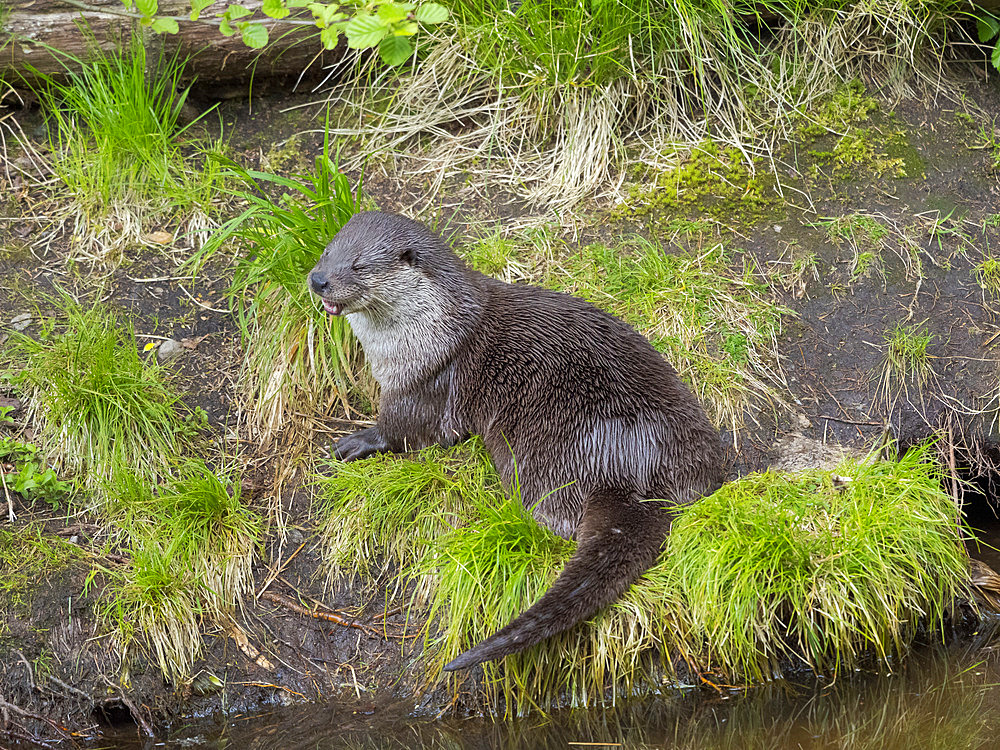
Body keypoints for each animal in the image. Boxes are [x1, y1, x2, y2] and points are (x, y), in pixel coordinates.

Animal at [308, 213, 724, 676]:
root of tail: (629, 468)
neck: (430, 331)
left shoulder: (426, 384)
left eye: (359, 265)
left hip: (538, 455)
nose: (319, 280)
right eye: (327, 250)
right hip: (687, 432)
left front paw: (358, 441)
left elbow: (403, 430)